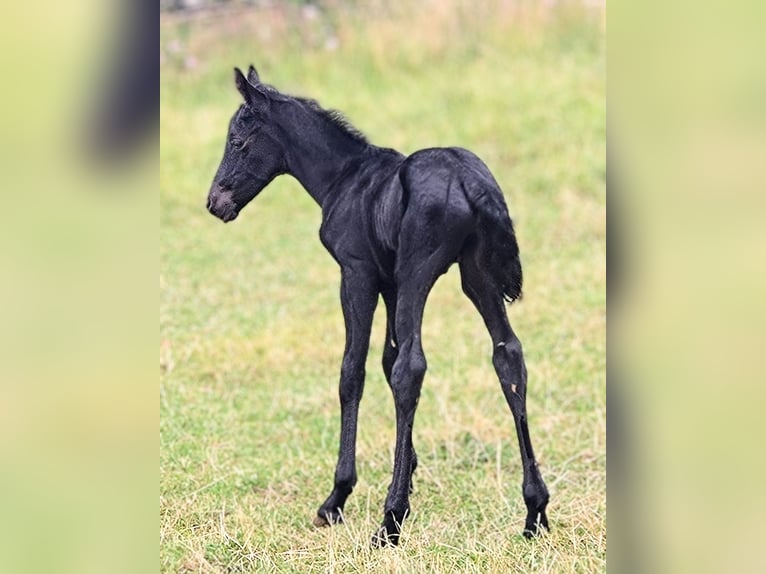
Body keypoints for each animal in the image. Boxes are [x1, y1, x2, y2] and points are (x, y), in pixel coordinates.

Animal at [207, 65, 549, 546]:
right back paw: (535, 510)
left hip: (419, 272)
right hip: (475, 277)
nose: (215, 202)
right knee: (508, 356)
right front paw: (410, 466)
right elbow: (386, 359)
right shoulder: (388, 283)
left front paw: (338, 497)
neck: (345, 178)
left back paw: (390, 520)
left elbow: (355, 372)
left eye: (238, 142)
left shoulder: (358, 275)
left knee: (413, 367)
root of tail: (470, 181)